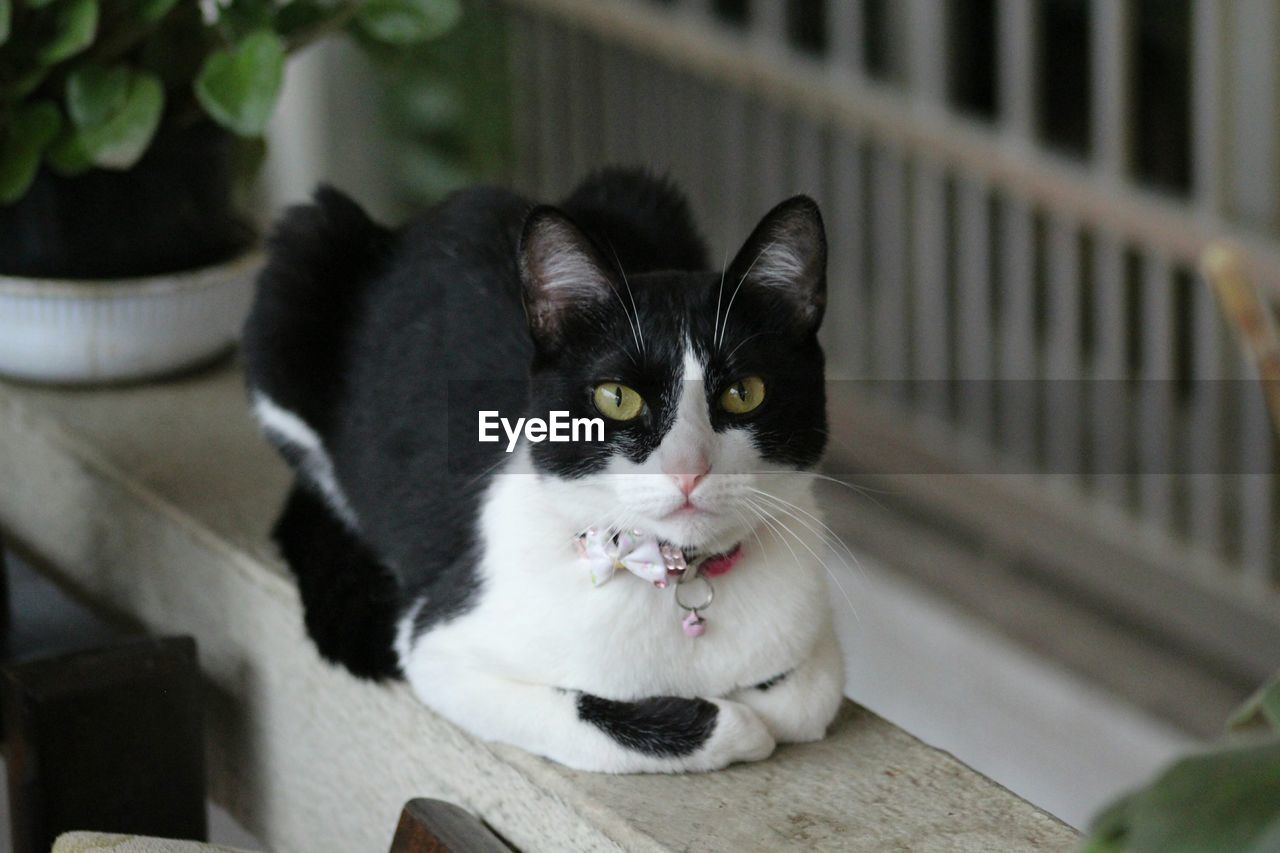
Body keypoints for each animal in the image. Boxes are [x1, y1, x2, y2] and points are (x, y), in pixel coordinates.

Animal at [245, 167, 849, 768]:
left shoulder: (815, 632)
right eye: (617, 398)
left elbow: (808, 696)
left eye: (745, 393)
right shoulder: (440, 649)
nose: (688, 469)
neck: (678, 576)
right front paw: (739, 723)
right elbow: (626, 721)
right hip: (299, 268)